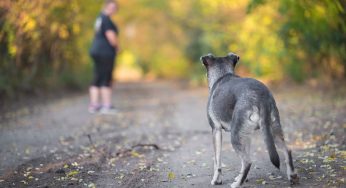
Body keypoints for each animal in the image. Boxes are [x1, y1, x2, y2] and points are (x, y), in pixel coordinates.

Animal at [201, 52, 298, 187]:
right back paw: (292, 176)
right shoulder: (246, 135)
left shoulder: (216, 130)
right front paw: (240, 177)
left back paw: (237, 184)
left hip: (235, 136)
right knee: (287, 150)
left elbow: (217, 161)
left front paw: (217, 180)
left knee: (247, 161)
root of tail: (261, 96)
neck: (222, 74)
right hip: (273, 130)